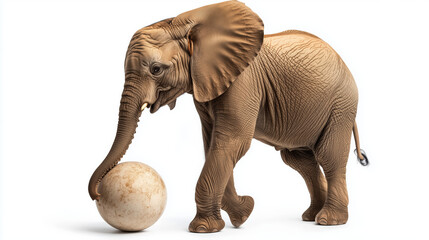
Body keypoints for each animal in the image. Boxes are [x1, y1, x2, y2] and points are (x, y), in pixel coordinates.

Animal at [88, 0, 368, 232]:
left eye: (156, 69)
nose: (98, 195)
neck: (188, 24)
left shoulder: (243, 82)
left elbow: (231, 142)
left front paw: (204, 229)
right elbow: (213, 143)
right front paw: (243, 213)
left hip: (342, 104)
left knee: (329, 156)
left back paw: (329, 221)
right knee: (299, 160)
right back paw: (310, 216)